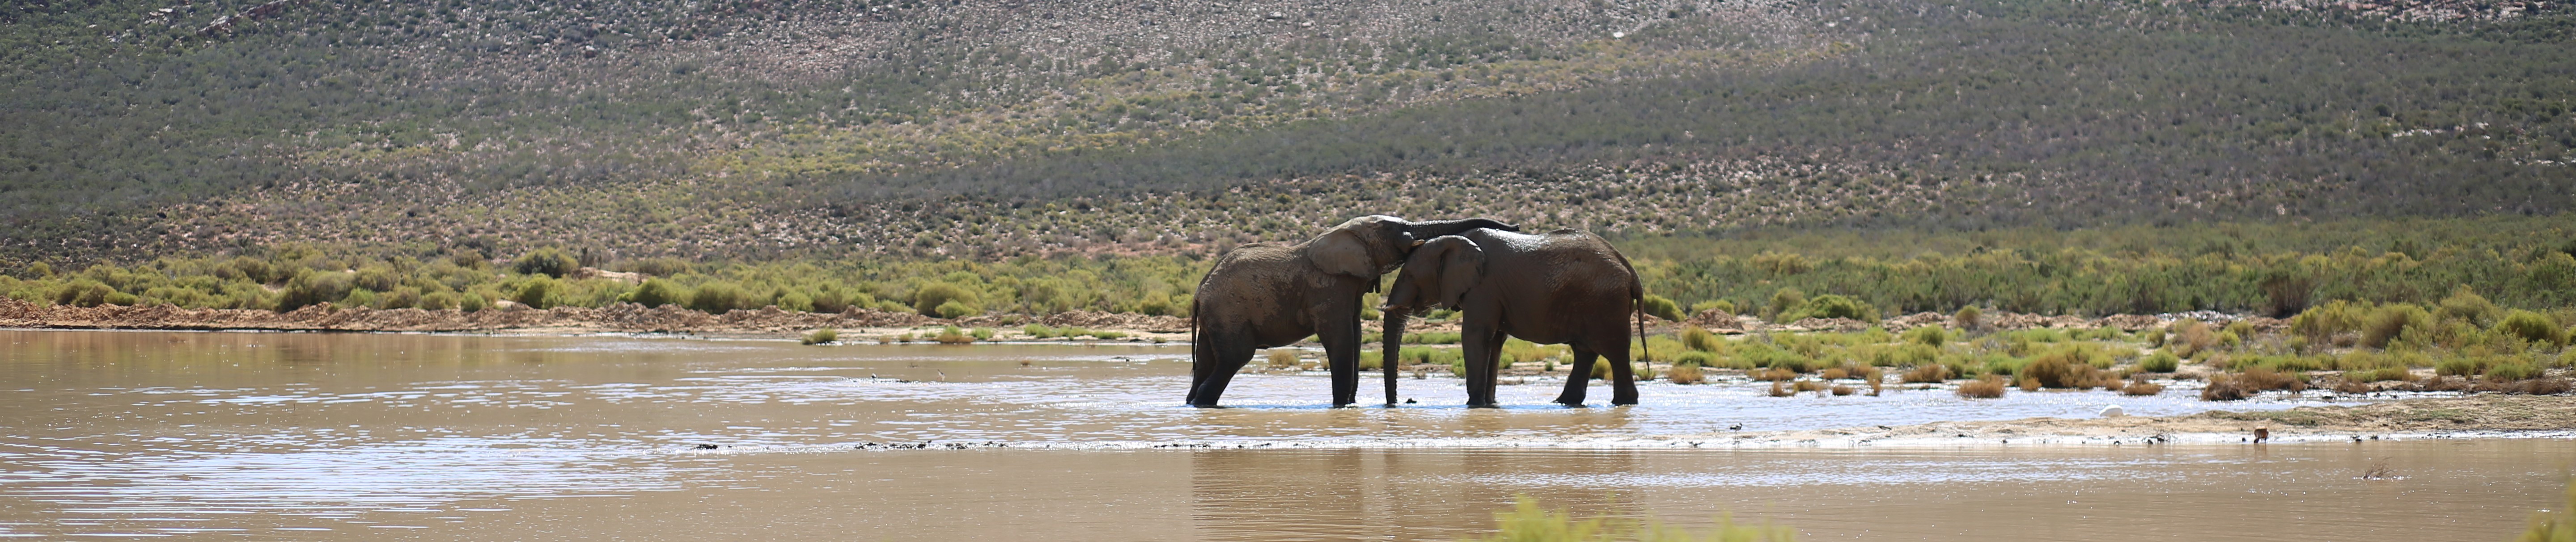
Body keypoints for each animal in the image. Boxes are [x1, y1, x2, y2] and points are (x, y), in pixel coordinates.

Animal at [1186, 215, 1521, 407]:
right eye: (1391, 228)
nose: (1516, 226)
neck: (1340, 233)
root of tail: (1199, 292)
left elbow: (1356, 335)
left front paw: (1349, 404)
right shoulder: (1327, 287)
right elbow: (1341, 338)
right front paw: (1341, 407)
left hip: (1215, 317)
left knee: (1207, 360)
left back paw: (1192, 403)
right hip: (1228, 311)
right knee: (1236, 357)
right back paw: (1204, 403)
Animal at [1378, 228, 1647, 407]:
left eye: (1409, 275)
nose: (1400, 403)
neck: (1455, 240)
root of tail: (1630, 270)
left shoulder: (1483, 288)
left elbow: (1476, 336)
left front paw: (1474, 405)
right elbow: (1495, 341)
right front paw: (1489, 405)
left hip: (1606, 303)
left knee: (1614, 353)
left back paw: (1623, 403)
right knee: (1586, 352)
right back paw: (1563, 403)